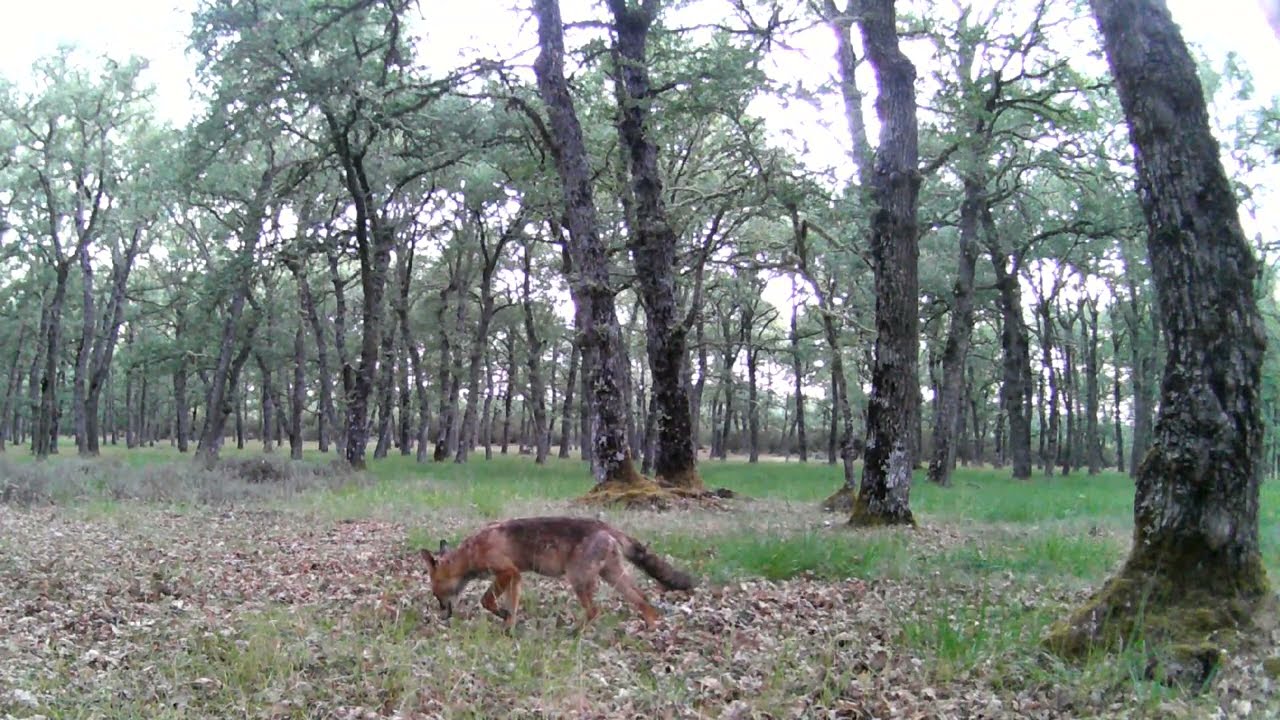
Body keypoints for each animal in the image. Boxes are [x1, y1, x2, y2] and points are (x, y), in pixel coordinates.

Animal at [420, 516, 695, 630]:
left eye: (436, 595)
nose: (442, 615)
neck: (472, 552)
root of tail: (605, 525)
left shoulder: (506, 572)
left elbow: (486, 601)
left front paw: (502, 616)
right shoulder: (516, 577)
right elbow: (512, 608)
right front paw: (508, 628)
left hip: (578, 580)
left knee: (595, 611)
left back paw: (574, 633)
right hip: (613, 577)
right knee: (643, 601)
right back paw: (651, 630)